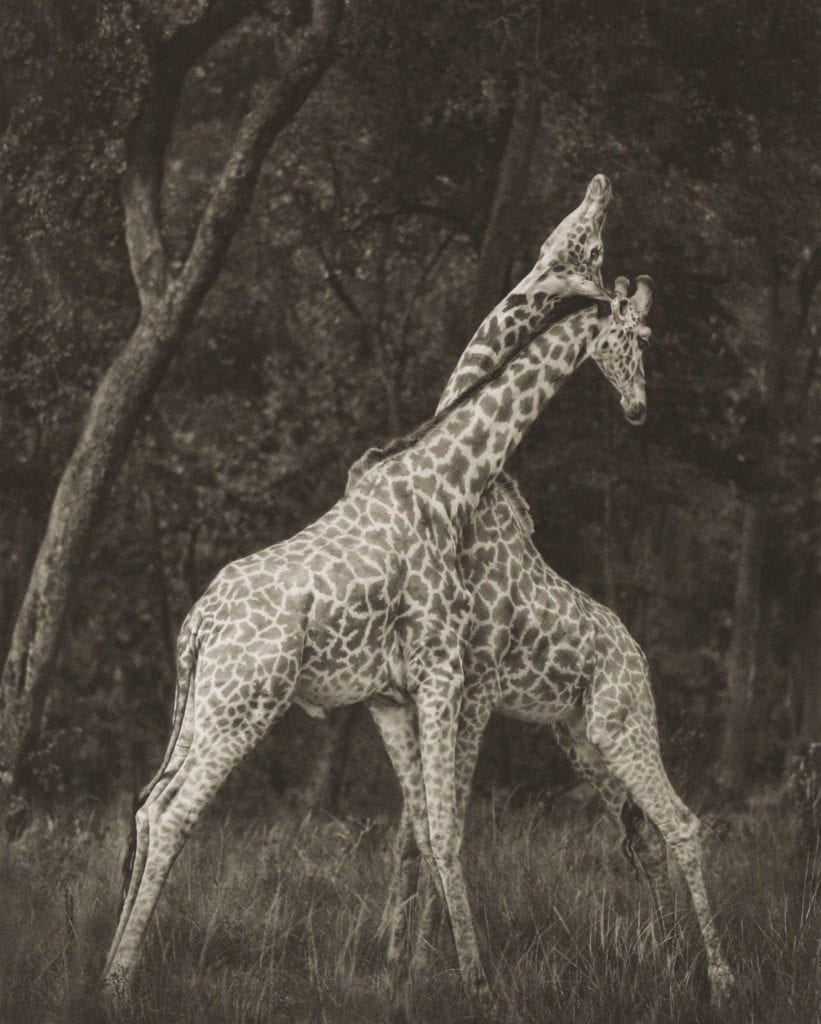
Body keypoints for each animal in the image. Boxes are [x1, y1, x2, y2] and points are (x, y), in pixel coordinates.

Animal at [102, 279, 644, 1006]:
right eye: (637, 339)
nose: (638, 406)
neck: (447, 481)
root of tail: (198, 625)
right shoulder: (443, 670)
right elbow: (443, 828)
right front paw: (475, 982)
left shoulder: (391, 693)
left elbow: (420, 827)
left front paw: (413, 971)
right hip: (243, 709)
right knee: (171, 816)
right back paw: (121, 981)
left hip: (201, 709)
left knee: (146, 806)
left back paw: (109, 966)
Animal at [372, 262, 736, 1002]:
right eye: (638, 337)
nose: (637, 408)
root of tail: (638, 659)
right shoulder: (455, 688)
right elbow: (421, 828)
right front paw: (410, 967)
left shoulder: (473, 688)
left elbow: (442, 825)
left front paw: (429, 967)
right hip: (586, 740)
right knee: (642, 836)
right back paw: (668, 964)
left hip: (624, 728)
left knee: (681, 823)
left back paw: (719, 980)